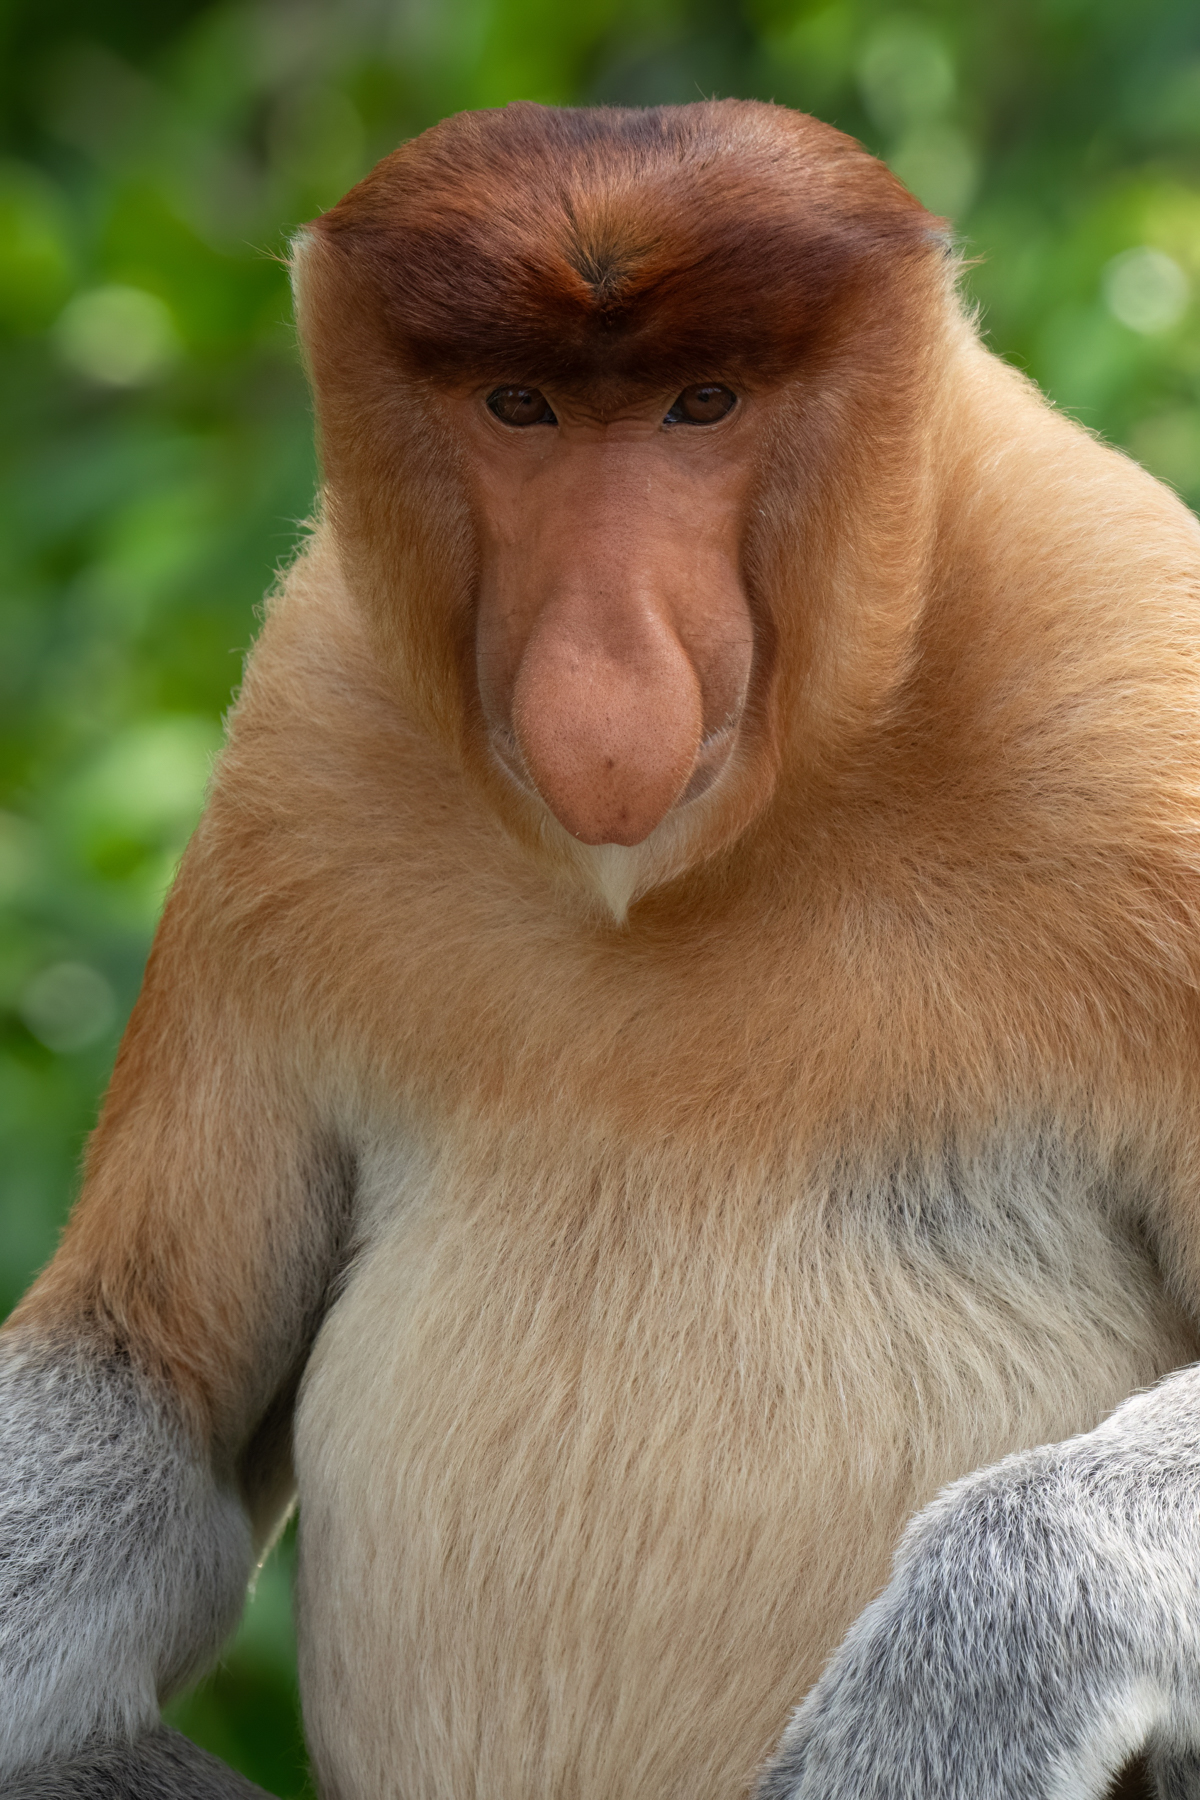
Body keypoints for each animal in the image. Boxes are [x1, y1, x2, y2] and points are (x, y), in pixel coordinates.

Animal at [3, 94, 1200, 1800]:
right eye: (524, 407)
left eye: (703, 405)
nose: (604, 667)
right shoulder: (299, 751)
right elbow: (141, 1378)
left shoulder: (1132, 688)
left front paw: (939, 1702)